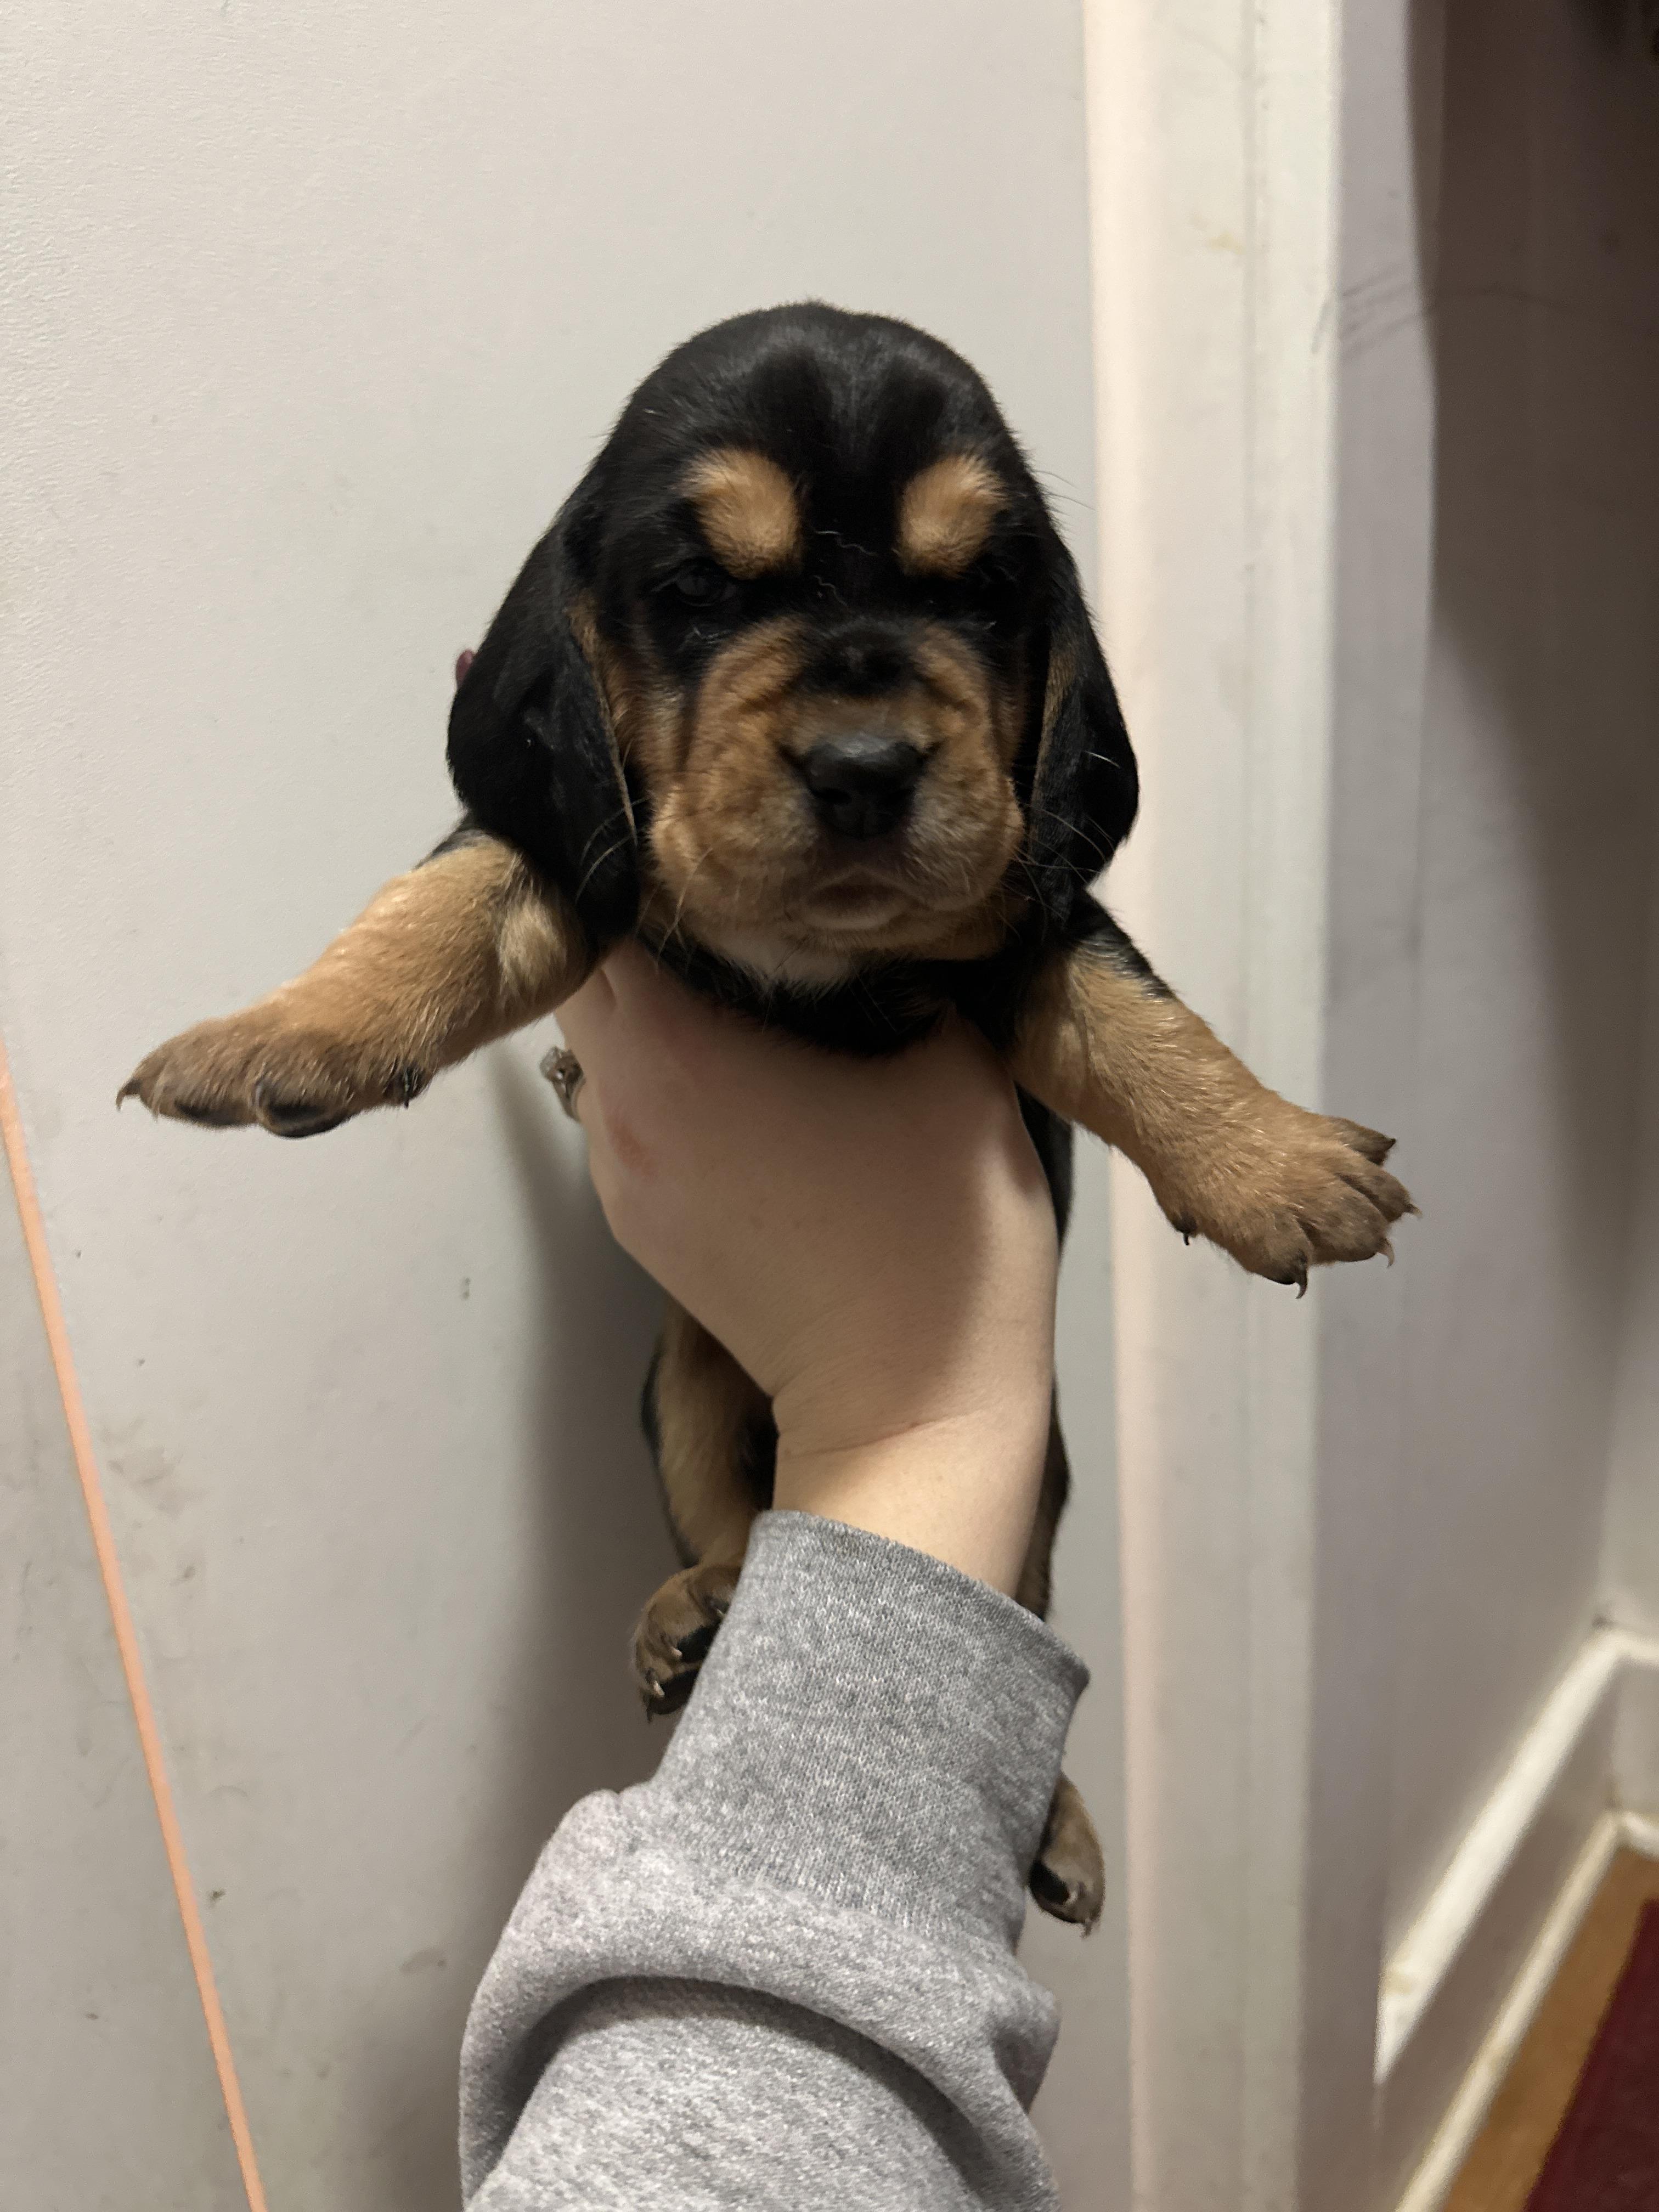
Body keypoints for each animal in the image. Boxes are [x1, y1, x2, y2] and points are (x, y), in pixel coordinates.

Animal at [120, 304, 1413, 1929]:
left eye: (981, 594)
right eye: (694, 595)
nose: (866, 766)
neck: (818, 965)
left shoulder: (1026, 917)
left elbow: (1136, 1014)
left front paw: (1278, 1162)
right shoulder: (578, 859)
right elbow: (445, 899)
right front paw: (275, 1034)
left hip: (1038, 1472)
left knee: (1020, 1617)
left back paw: (1056, 1823)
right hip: (679, 1388)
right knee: (741, 1532)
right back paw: (692, 1612)